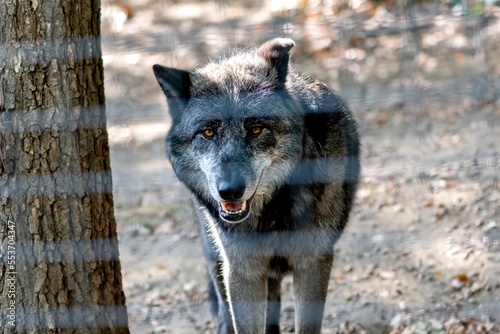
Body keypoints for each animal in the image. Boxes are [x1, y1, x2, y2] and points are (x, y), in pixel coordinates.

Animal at [152, 37, 360, 334]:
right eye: (208, 132)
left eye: (256, 129)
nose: (229, 190)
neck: (274, 210)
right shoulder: (242, 270)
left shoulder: (313, 263)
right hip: (216, 258)